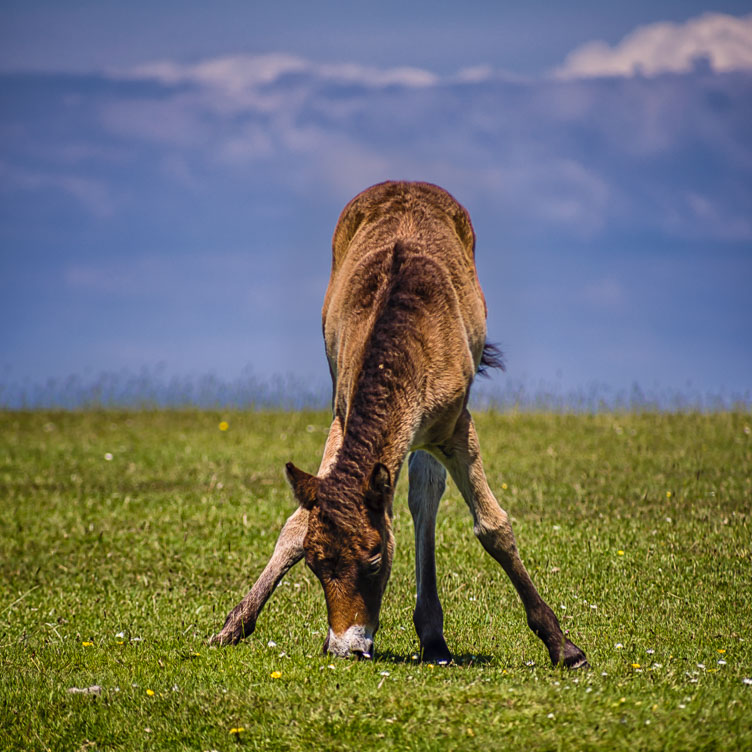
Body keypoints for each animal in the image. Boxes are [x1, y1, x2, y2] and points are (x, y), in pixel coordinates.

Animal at [210, 182, 588, 668]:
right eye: (315, 565)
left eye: (374, 561)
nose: (347, 648)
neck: (403, 342)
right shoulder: (342, 413)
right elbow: (296, 523)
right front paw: (233, 625)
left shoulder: (456, 426)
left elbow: (493, 527)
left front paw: (563, 645)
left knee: (425, 495)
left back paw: (434, 637)